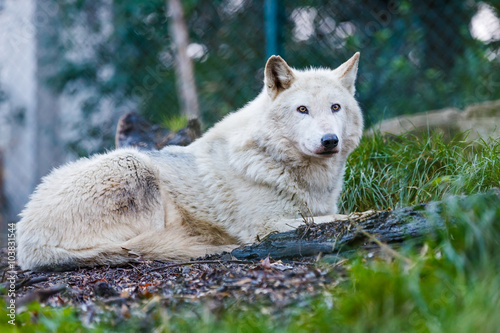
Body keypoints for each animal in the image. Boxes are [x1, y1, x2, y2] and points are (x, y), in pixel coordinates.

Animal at [16, 52, 364, 270]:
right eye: (302, 110)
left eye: (335, 107)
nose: (329, 141)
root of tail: (26, 241)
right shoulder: (266, 226)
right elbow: (338, 217)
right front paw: (368, 216)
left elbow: (331, 215)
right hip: (135, 165)